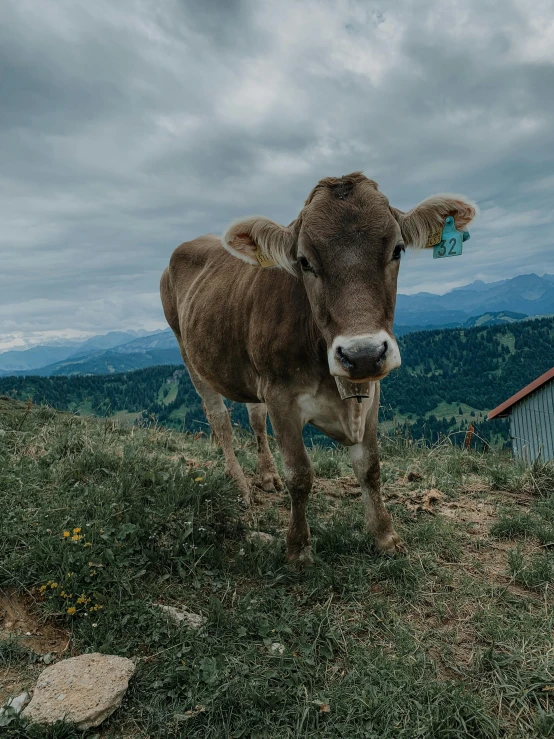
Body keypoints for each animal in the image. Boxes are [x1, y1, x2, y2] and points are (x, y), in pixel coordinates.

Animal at [161, 173, 474, 564]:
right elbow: (300, 475)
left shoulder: (371, 391)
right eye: (304, 261)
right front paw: (298, 548)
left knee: (254, 417)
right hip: (190, 355)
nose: (362, 354)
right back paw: (241, 485)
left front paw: (385, 536)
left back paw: (266, 475)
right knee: (220, 422)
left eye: (398, 249)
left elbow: (370, 467)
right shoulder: (281, 395)